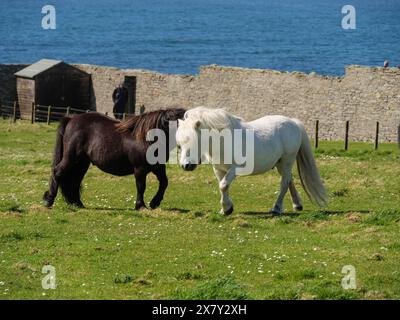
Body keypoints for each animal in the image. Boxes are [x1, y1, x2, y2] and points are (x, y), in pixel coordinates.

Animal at [43, 109, 186, 210]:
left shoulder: (158, 167)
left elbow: (164, 183)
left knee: (75, 180)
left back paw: (77, 203)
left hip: (82, 163)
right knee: (57, 172)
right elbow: (141, 187)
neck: (148, 138)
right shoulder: (140, 169)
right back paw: (49, 200)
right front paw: (140, 206)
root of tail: (71, 119)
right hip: (72, 158)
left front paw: (154, 202)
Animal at [177, 107, 326, 215]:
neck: (223, 141)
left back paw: (276, 208)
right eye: (179, 145)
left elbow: (223, 185)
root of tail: (293, 122)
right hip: (280, 164)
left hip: (287, 161)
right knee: (289, 180)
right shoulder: (218, 169)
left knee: (284, 183)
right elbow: (222, 186)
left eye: (194, 142)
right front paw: (226, 208)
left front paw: (227, 208)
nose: (186, 166)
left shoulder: (235, 168)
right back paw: (297, 205)